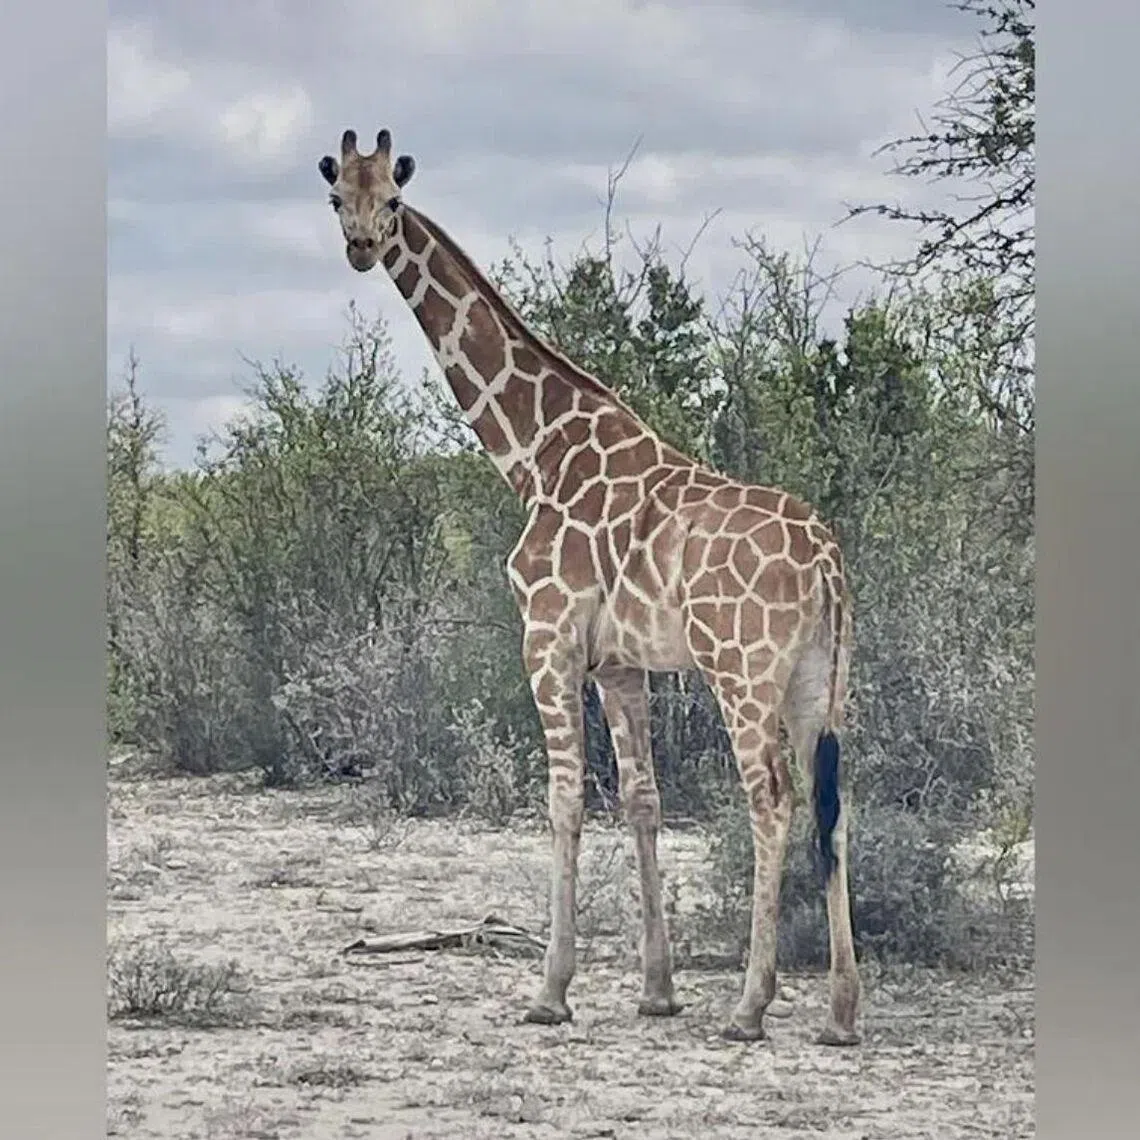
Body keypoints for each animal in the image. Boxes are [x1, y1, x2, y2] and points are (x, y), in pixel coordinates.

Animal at [318, 127, 861, 1046]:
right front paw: (657, 989)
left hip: (742, 670)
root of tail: (826, 559)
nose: (359, 247)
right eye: (335, 197)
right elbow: (642, 800)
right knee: (834, 803)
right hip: (821, 678)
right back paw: (841, 1012)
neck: (534, 453)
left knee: (772, 800)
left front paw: (550, 990)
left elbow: (565, 798)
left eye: (391, 197)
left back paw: (751, 1006)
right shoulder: (620, 662)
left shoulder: (547, 636)